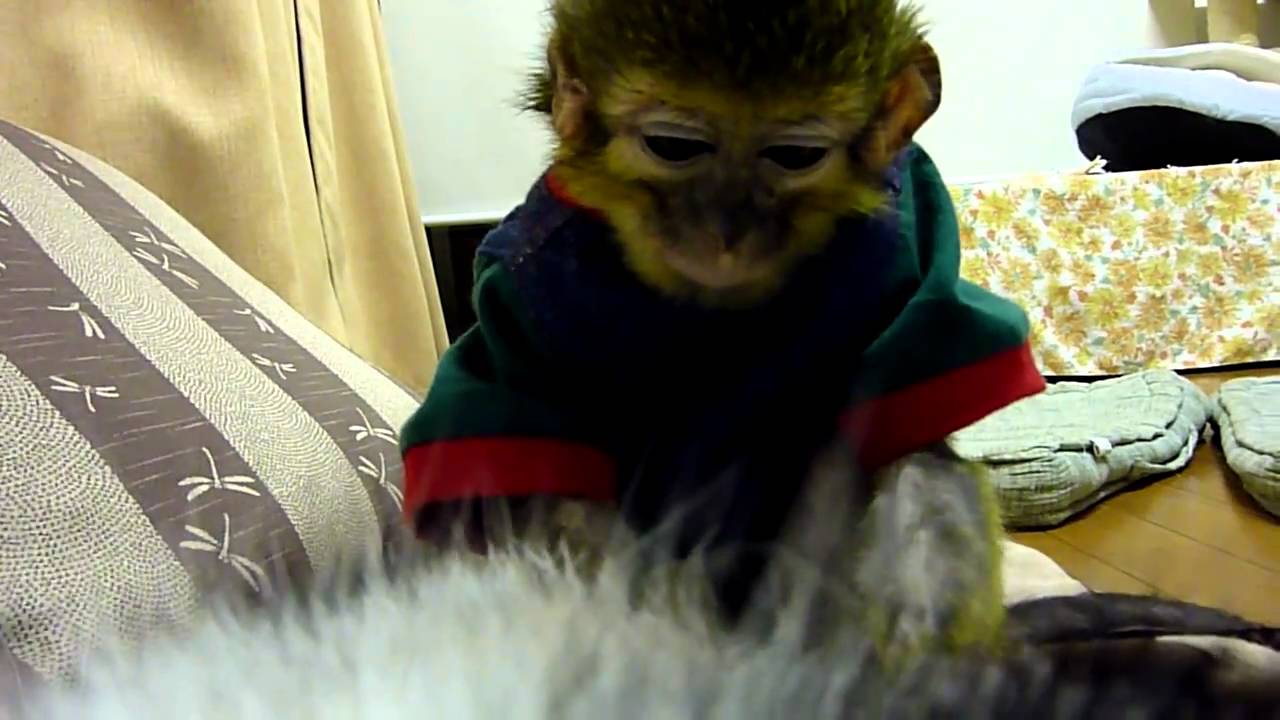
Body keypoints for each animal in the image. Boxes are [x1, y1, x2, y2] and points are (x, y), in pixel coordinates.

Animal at [398, 0, 1048, 659]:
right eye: (673, 146)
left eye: (795, 155)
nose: (726, 228)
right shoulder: (514, 290)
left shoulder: (913, 221)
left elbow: (909, 434)